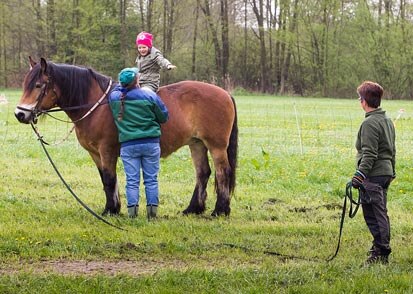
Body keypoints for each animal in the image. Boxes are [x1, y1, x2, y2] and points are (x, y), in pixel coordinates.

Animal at [14, 58, 238, 216]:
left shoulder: (107, 150)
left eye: (38, 85)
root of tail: (225, 93)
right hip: (197, 144)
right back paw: (194, 209)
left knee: (222, 172)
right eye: (25, 84)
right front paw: (112, 207)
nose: (20, 114)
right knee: (203, 173)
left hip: (216, 146)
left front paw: (111, 210)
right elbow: (105, 179)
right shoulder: (95, 154)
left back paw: (220, 210)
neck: (96, 105)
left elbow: (110, 178)